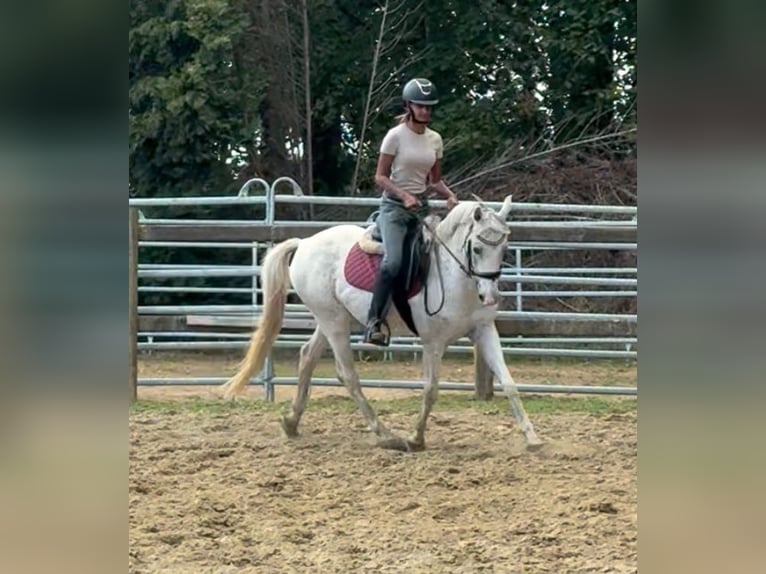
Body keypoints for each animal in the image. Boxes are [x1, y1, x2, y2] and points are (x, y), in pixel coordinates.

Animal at [221, 195, 542, 452]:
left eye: (504, 247)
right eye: (476, 248)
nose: (490, 296)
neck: (453, 276)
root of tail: (305, 243)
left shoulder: (484, 332)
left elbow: (509, 383)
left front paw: (533, 438)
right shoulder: (433, 342)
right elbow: (431, 390)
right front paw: (416, 439)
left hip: (333, 318)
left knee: (308, 356)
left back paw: (291, 423)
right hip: (334, 321)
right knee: (347, 375)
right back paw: (386, 435)